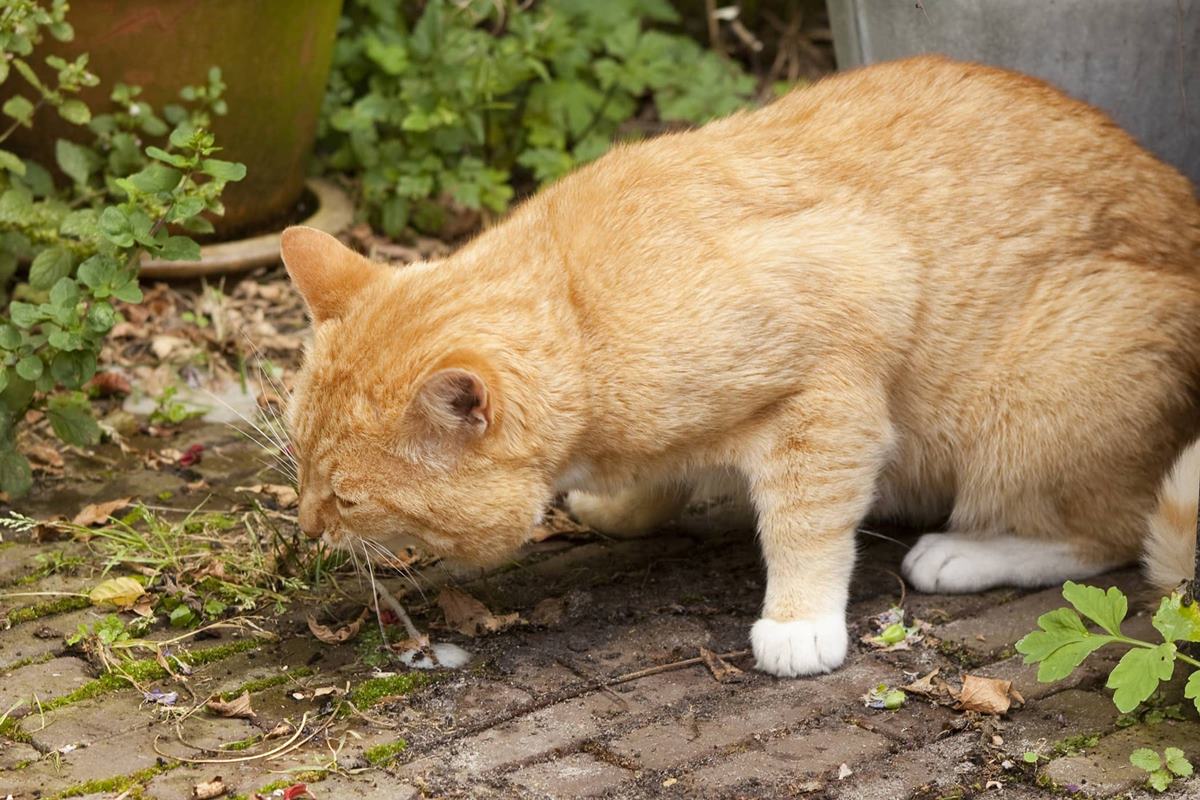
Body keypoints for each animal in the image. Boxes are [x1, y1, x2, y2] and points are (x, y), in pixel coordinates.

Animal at [283, 54, 1200, 676]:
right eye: (300, 470)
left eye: (349, 497)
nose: (308, 528)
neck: (581, 306)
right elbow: (656, 480)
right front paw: (626, 506)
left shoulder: (836, 379)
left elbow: (807, 523)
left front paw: (798, 623)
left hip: (1032, 408)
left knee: (1110, 538)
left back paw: (964, 553)